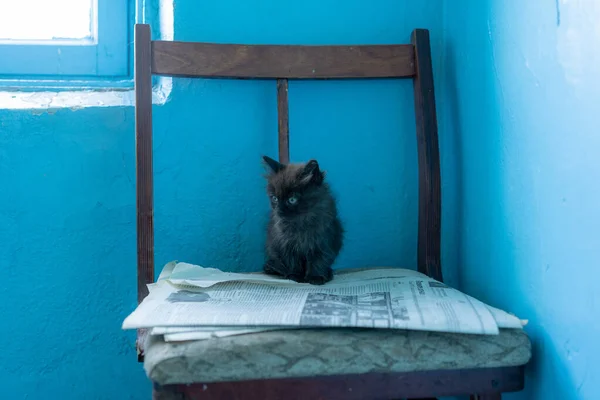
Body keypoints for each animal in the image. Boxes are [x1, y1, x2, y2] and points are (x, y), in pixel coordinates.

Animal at [262, 155, 342, 284]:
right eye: (274, 198)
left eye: (292, 199)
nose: (279, 210)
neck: (300, 221)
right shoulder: (286, 243)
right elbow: (292, 260)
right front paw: (295, 276)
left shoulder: (323, 241)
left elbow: (319, 260)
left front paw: (315, 277)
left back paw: (328, 273)